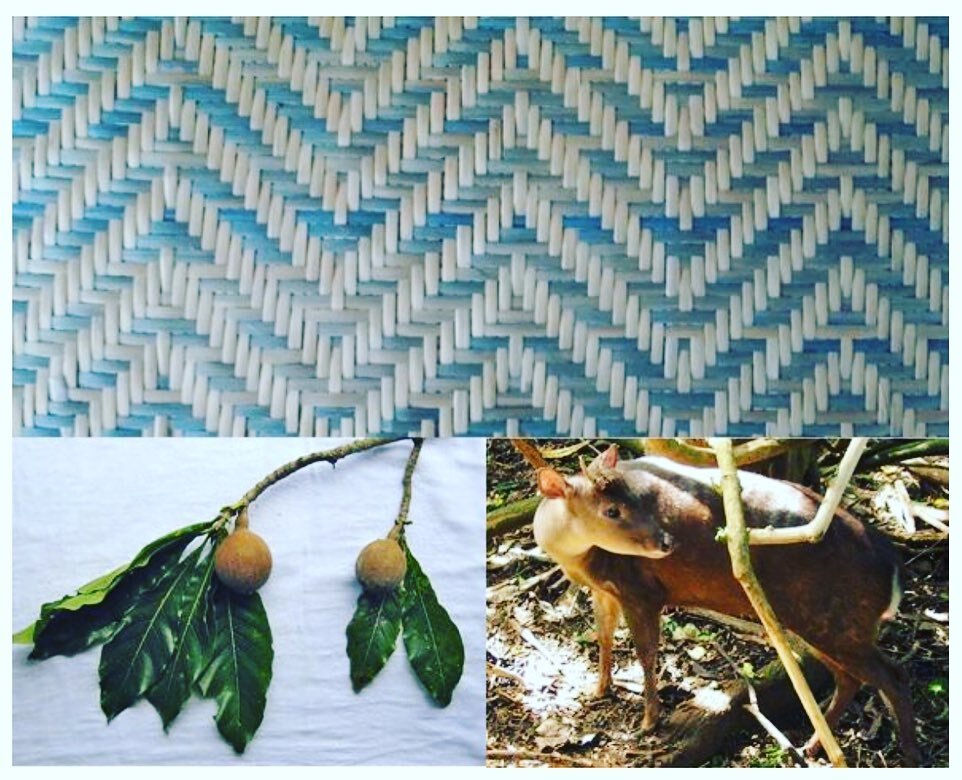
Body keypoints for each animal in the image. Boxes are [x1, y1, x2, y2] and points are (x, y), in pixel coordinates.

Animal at [533, 444, 921, 766]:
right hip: (818, 621)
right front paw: (598, 691)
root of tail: (894, 568)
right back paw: (812, 747)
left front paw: (648, 722)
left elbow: (645, 654)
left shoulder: (641, 591)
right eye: (611, 510)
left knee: (894, 676)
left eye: (639, 501)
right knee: (849, 678)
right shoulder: (604, 590)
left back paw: (910, 756)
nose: (666, 542)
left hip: (838, 620)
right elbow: (604, 638)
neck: (576, 557)